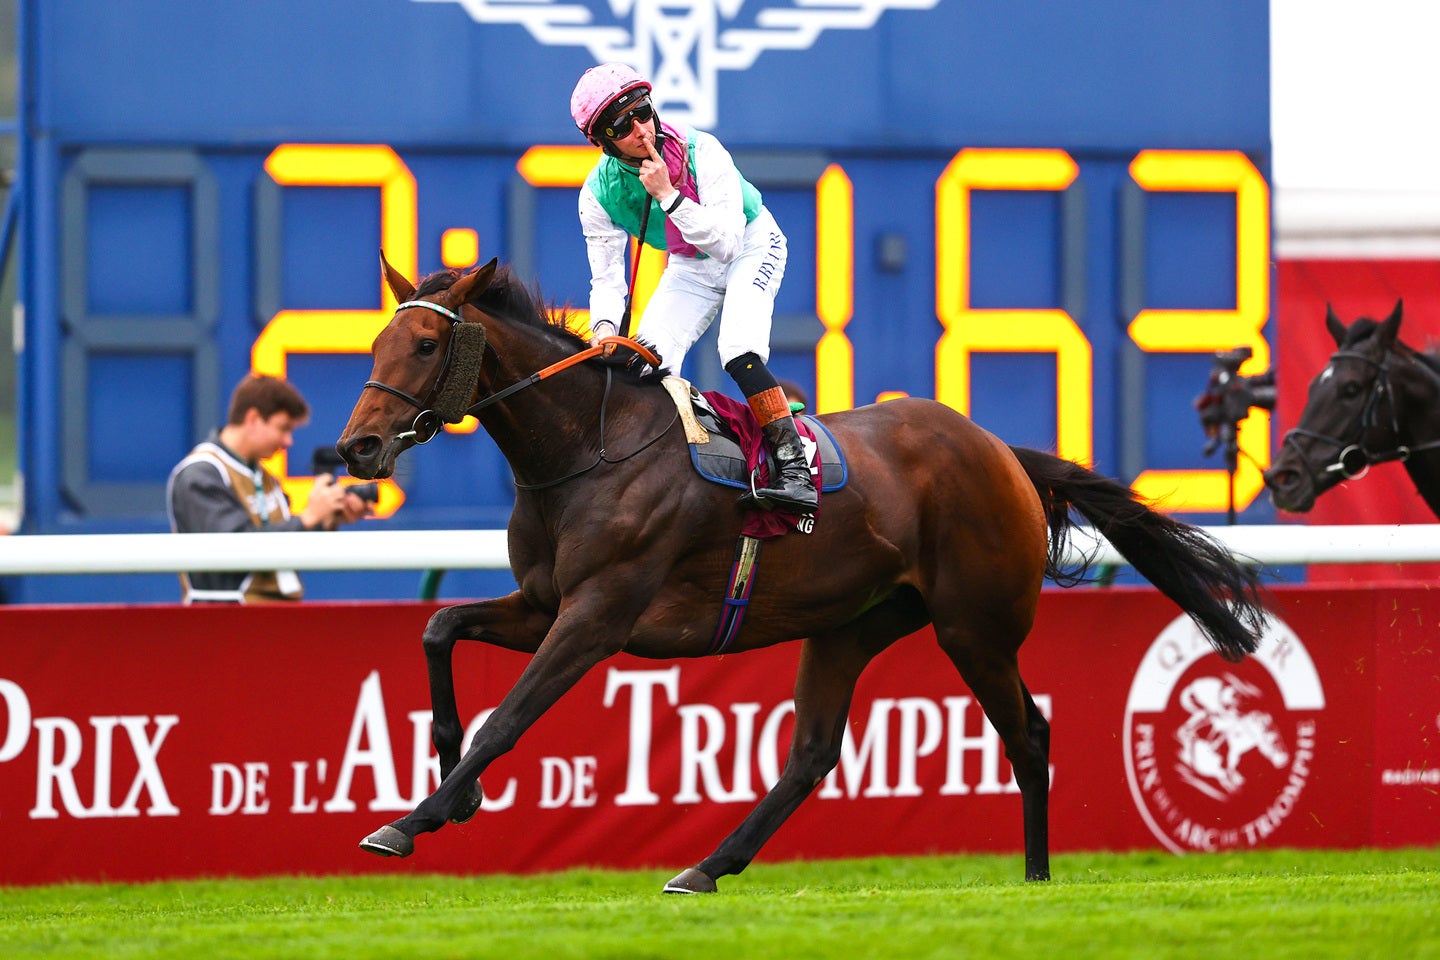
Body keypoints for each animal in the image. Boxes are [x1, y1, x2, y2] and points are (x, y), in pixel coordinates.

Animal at [336, 252, 1269, 891]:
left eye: (426, 342)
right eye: (376, 340)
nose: (359, 448)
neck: (586, 450)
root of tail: (1003, 451)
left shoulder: (599, 614)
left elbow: (509, 719)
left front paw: (412, 819)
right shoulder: (542, 602)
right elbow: (439, 628)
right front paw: (452, 786)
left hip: (973, 626)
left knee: (1027, 734)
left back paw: (1037, 880)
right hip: (850, 625)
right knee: (813, 752)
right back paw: (707, 866)